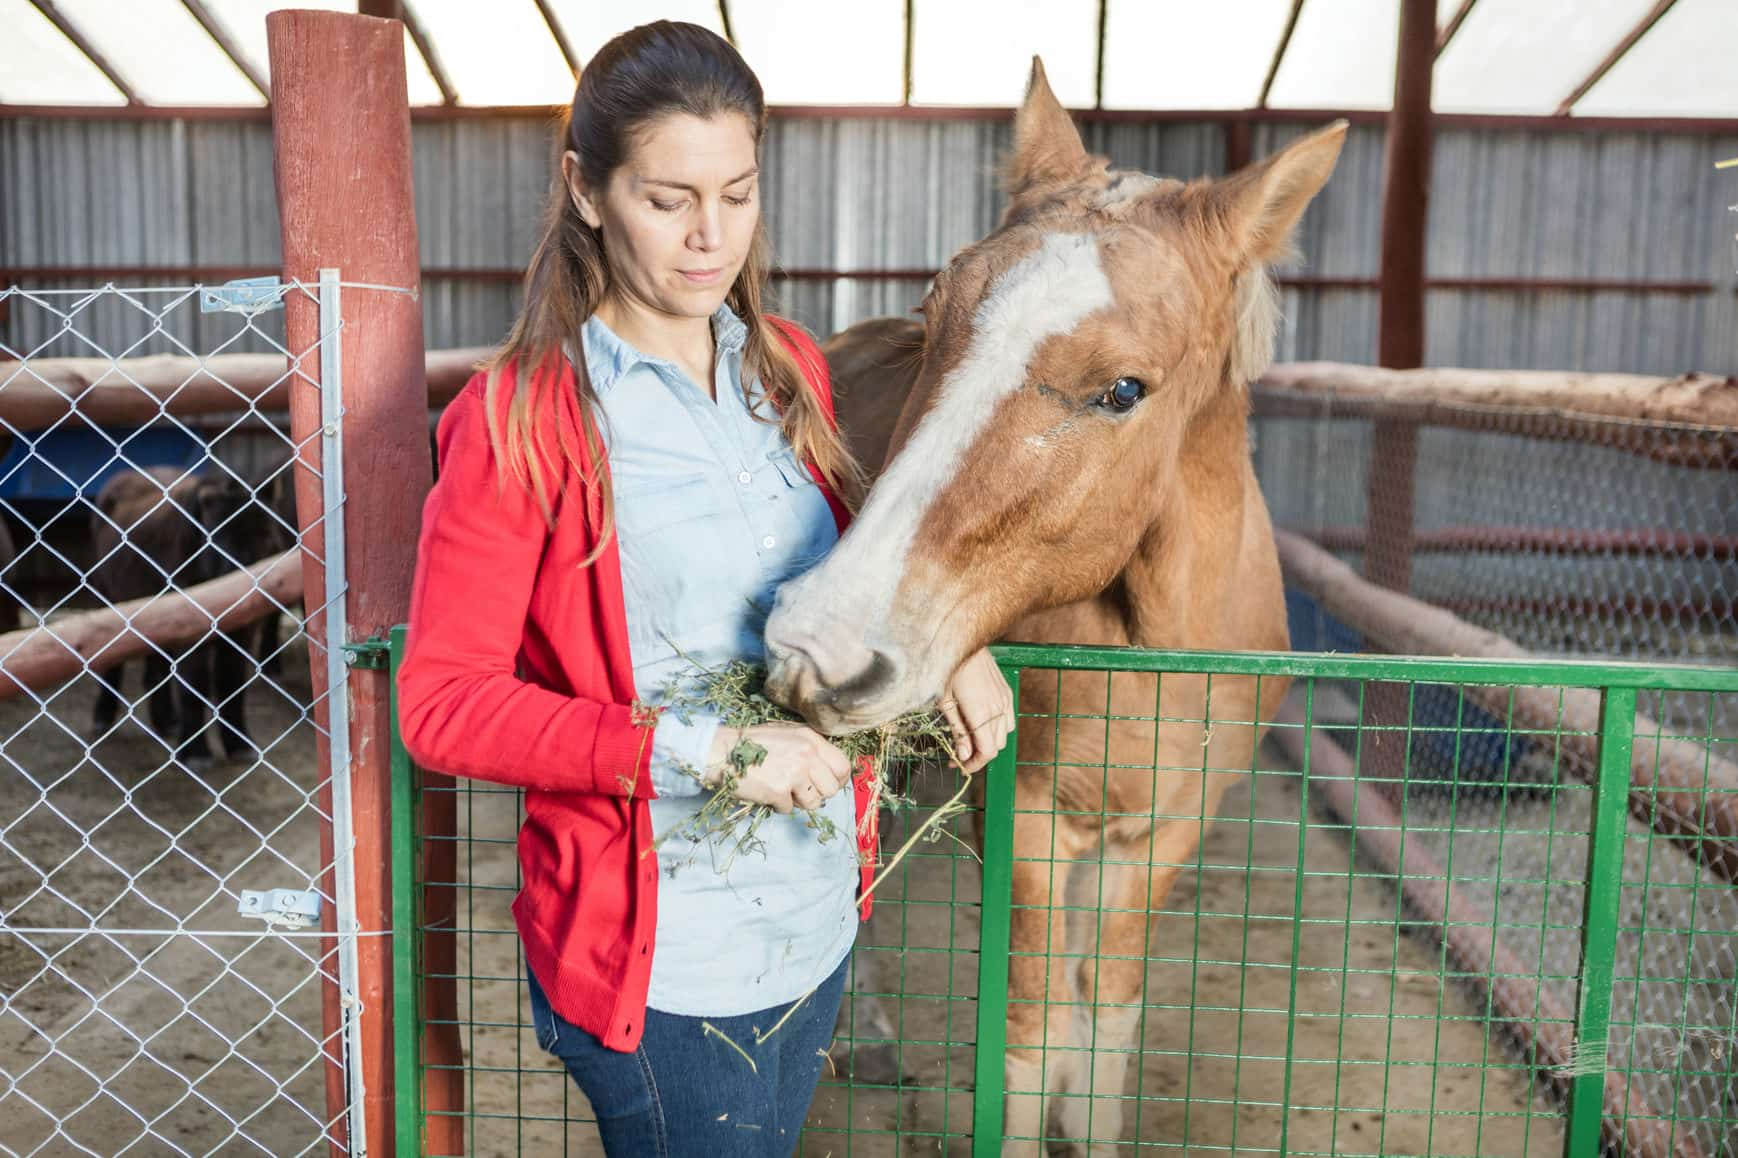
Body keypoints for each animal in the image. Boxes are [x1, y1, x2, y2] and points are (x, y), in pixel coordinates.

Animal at [768, 60, 1348, 1147]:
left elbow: (1105, 1004)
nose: (820, 644)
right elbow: (1032, 1028)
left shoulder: (1164, 834)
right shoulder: (1026, 822)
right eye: (935, 312)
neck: (1155, 644)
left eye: (1123, 389)